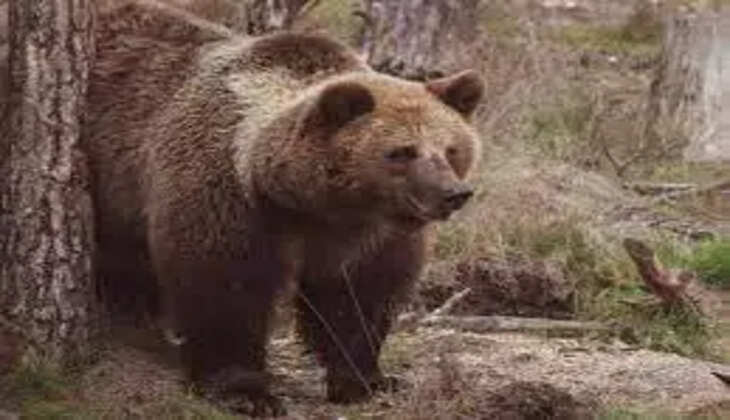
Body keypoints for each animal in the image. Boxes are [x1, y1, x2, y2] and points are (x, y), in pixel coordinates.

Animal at [86, 0, 485, 416]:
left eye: (451, 149)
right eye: (402, 152)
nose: (453, 193)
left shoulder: (373, 235)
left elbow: (359, 298)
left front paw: (365, 379)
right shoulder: (230, 196)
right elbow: (225, 286)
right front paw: (246, 391)